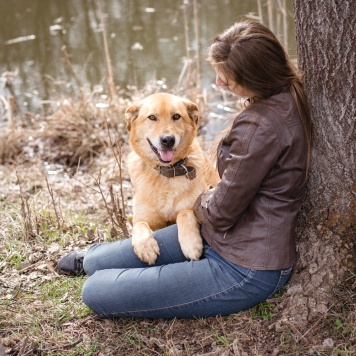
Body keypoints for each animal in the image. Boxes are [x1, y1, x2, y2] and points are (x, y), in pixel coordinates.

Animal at [125, 93, 218, 266]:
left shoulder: (199, 206)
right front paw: (146, 247)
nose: (167, 140)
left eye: (176, 116)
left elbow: (184, 213)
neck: (167, 173)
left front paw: (190, 244)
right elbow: (139, 226)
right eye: (152, 117)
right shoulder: (144, 220)